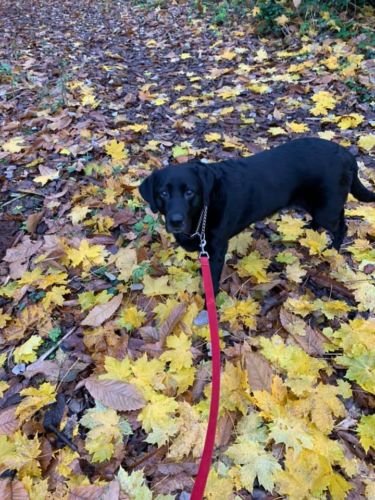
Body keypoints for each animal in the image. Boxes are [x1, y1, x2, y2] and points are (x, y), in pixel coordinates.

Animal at [140, 137, 375, 296]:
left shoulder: (216, 250)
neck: (201, 214)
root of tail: (346, 154)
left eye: (190, 192)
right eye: (163, 193)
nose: (176, 221)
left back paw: (332, 251)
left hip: (327, 208)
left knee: (341, 227)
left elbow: (212, 280)